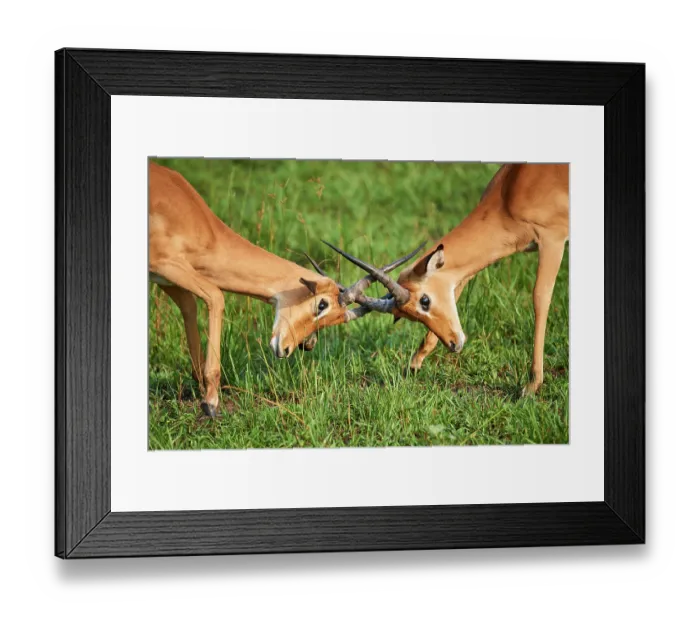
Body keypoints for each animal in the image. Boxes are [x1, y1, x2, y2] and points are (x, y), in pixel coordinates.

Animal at [148, 161, 424, 417]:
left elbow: (191, 309)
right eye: (321, 304)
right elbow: (216, 297)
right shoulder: (164, 265)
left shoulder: (169, 281)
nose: (288, 349)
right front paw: (211, 404)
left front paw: (203, 395)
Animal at [321, 164, 569, 395]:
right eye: (407, 316)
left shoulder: (552, 239)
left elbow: (540, 297)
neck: (511, 190)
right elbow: (458, 288)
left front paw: (532, 384)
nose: (453, 344)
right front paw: (414, 364)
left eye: (425, 301)